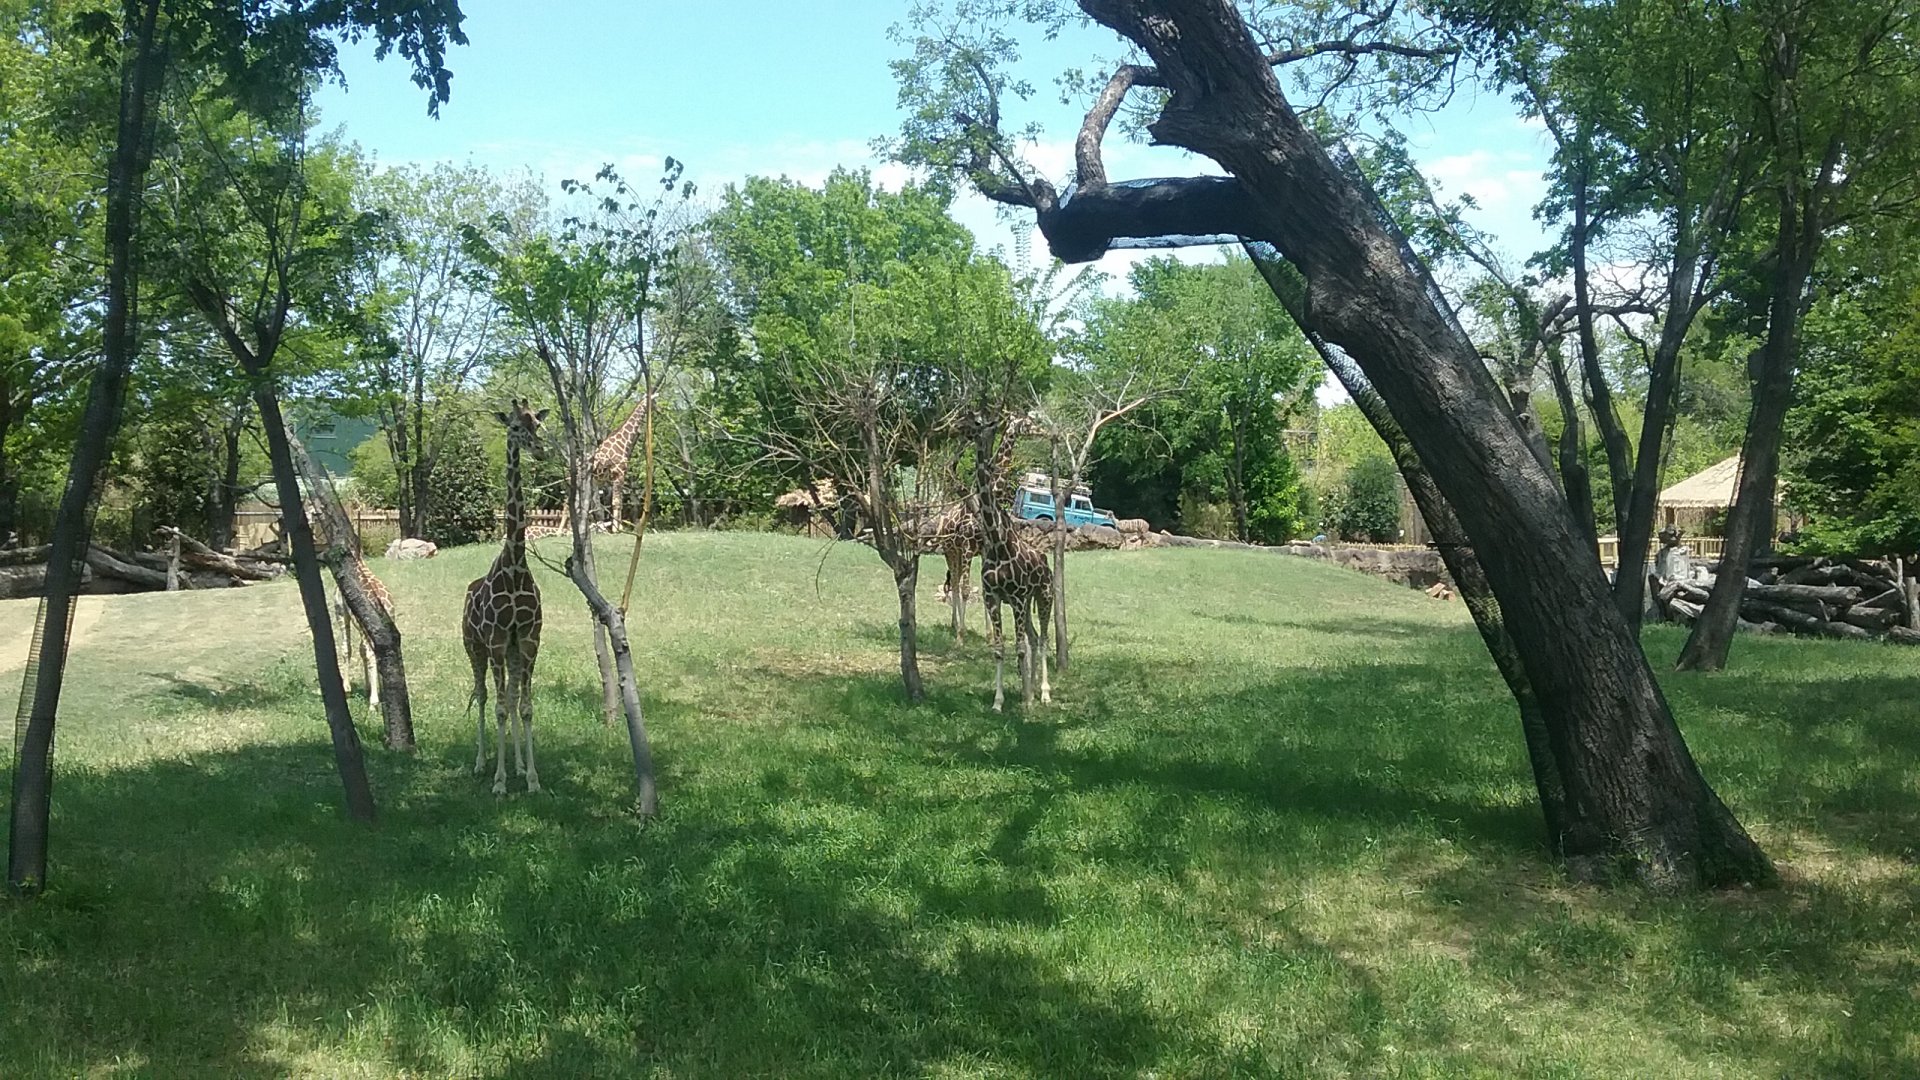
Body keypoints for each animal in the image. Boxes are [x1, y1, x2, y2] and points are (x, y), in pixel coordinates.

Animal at [587, 391, 656, 532]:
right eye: (654, 401)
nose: (659, 409)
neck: (623, 443)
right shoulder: (619, 473)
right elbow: (616, 503)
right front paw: (616, 529)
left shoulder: (618, 476)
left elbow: (618, 502)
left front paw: (617, 527)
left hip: (592, 481)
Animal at [970, 411, 1052, 711]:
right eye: (1032, 420)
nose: (1048, 432)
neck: (997, 542)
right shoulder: (992, 596)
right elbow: (999, 648)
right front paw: (998, 701)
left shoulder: (1016, 597)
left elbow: (1019, 648)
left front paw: (1026, 702)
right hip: (1027, 603)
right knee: (1033, 637)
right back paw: (1032, 689)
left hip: (1043, 596)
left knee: (1042, 639)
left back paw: (1043, 693)